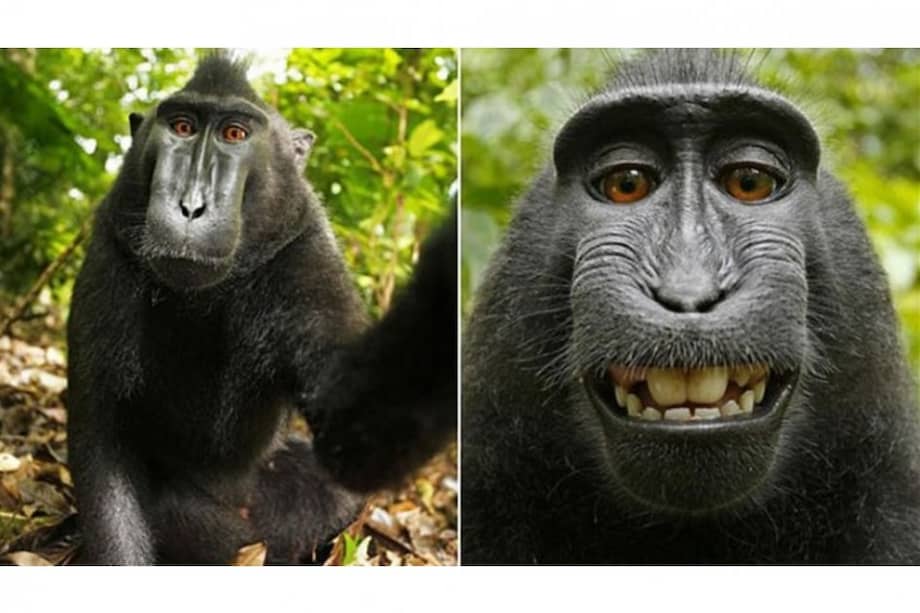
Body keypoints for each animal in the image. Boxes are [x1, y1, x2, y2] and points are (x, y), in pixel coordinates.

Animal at [66, 53, 456, 565]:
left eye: (234, 134)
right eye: (182, 127)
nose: (191, 206)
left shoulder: (306, 255)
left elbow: (357, 432)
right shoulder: (110, 254)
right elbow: (101, 440)